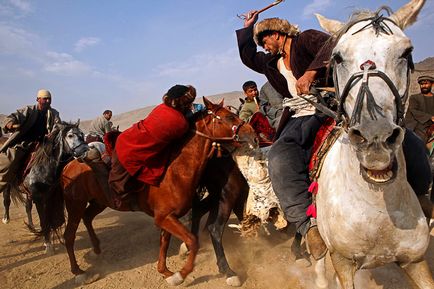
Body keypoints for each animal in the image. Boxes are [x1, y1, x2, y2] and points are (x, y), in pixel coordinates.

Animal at [61, 97, 258, 284]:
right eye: (229, 117)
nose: (254, 136)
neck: (176, 171)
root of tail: (68, 166)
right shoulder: (164, 217)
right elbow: (193, 241)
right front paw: (180, 275)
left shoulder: (167, 217)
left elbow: (164, 243)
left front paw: (166, 272)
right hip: (75, 205)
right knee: (69, 235)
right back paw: (79, 272)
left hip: (99, 202)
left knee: (87, 217)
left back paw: (96, 248)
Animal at [312, 0, 434, 286]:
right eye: (337, 57)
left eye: (406, 52)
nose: (375, 138)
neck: (376, 210)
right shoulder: (342, 264)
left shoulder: (416, 261)